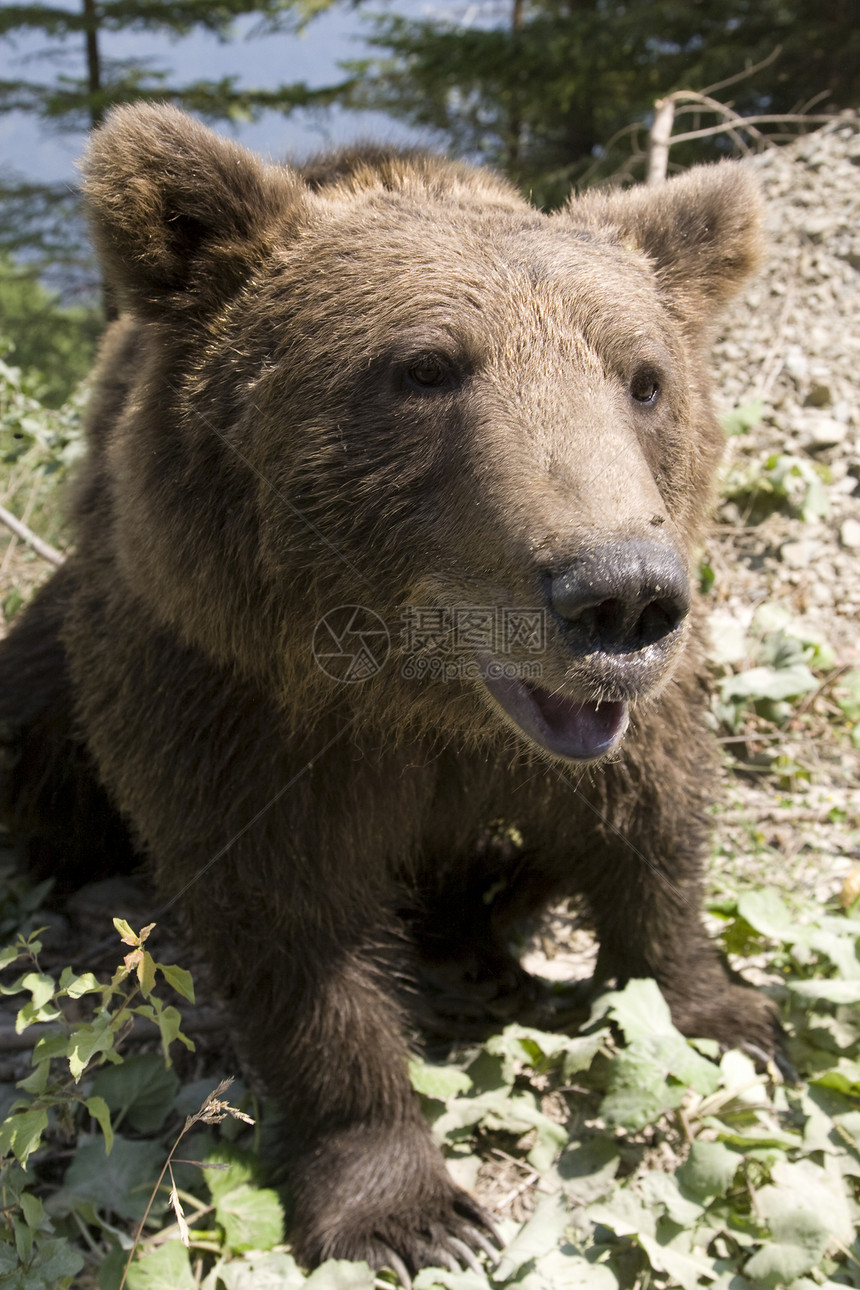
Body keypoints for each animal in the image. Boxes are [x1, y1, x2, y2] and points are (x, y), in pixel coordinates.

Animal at [0, 105, 778, 1284]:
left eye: (643, 378)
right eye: (426, 368)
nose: (622, 596)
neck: (419, 696)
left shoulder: (616, 723)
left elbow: (649, 824)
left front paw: (725, 1011)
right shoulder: (229, 703)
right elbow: (297, 939)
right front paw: (407, 1209)